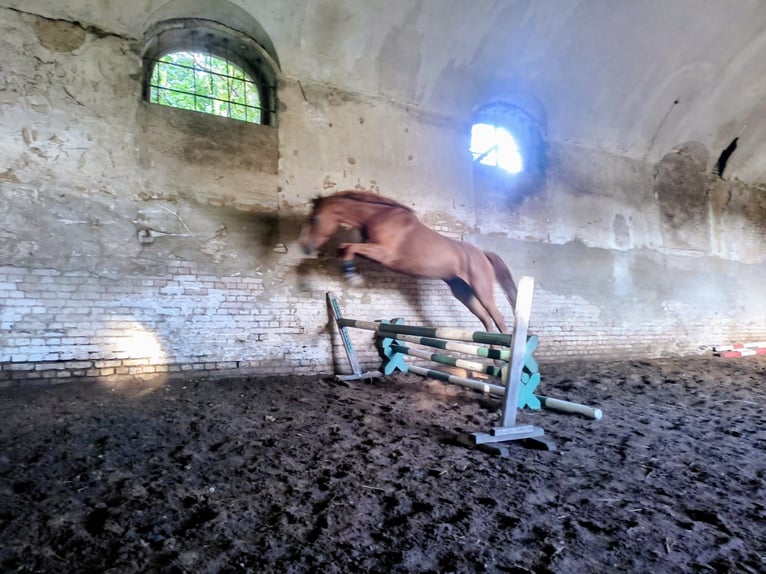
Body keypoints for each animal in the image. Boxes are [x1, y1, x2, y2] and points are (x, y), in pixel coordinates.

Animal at [299, 190, 519, 333]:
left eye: (315, 219)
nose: (306, 247)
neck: (378, 216)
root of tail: (483, 255)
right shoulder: (370, 250)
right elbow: (344, 248)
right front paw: (350, 272)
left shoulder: (384, 254)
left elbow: (349, 248)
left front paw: (353, 278)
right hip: (463, 292)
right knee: (485, 320)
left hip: (481, 290)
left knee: (497, 318)